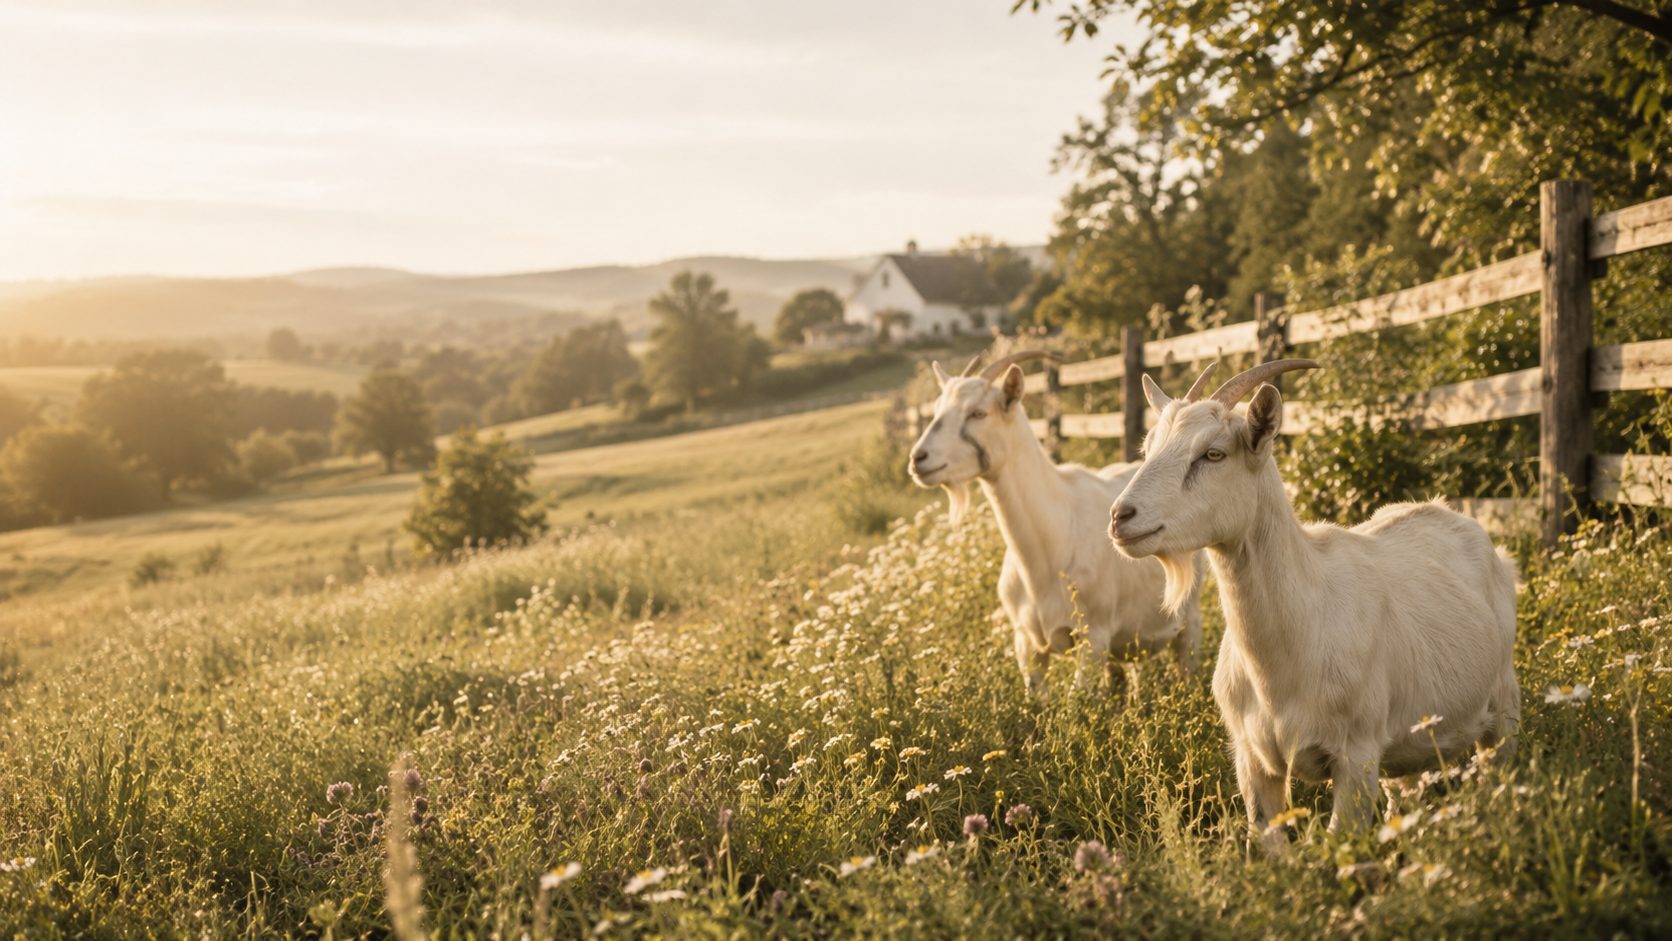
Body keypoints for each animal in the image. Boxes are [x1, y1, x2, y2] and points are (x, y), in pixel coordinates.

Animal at [909, 351, 1203, 695]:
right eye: (937, 409)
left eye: (978, 413)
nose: (918, 459)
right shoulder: (1027, 646)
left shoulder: (1092, 639)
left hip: (1188, 620)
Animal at [1108, 360, 1520, 853]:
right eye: (1148, 447)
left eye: (1212, 454)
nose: (1120, 517)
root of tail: (1455, 515)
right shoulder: (1253, 761)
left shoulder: (1356, 755)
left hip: (1503, 706)